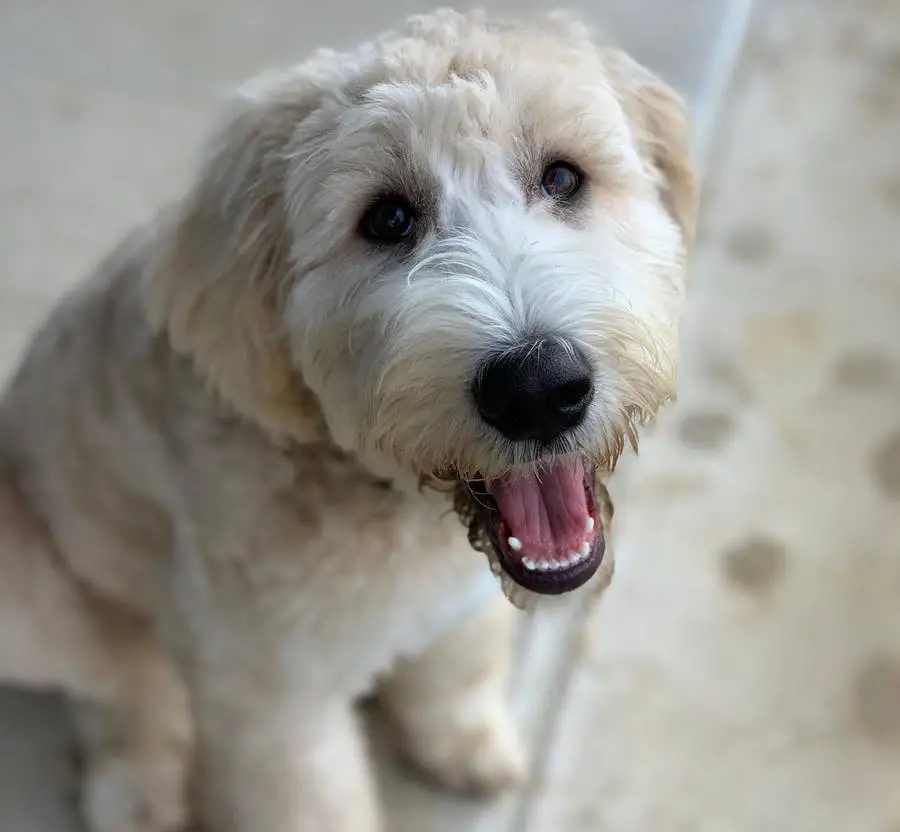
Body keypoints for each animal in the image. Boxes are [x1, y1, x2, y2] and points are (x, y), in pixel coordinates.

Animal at [0, 8, 696, 832]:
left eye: (562, 177)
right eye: (387, 219)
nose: (537, 389)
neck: (376, 494)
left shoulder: (457, 604)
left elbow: (456, 673)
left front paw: (463, 742)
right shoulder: (274, 701)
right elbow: (308, 797)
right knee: (119, 682)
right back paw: (136, 782)